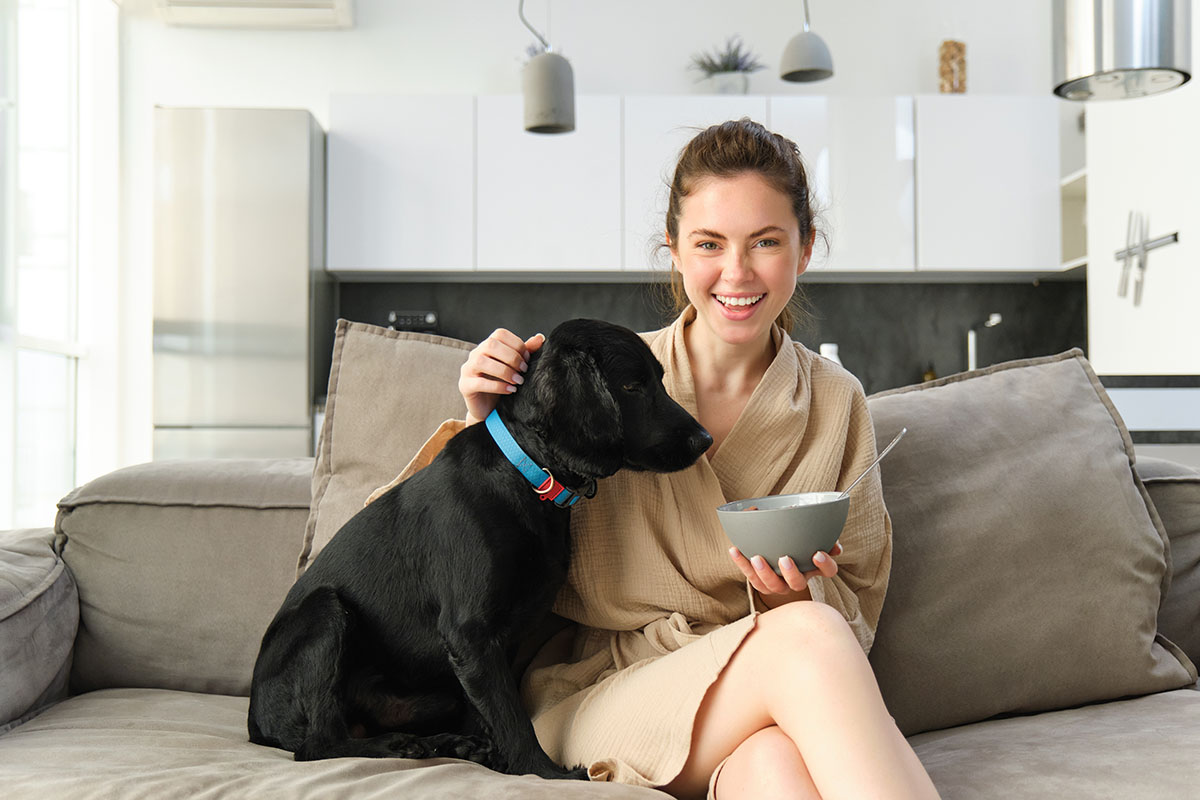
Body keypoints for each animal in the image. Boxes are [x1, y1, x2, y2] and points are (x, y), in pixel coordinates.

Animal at [246, 321, 710, 782]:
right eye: (633, 386)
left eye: (661, 380)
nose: (704, 439)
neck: (527, 475)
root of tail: (255, 724)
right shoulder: (471, 633)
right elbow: (512, 716)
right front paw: (545, 773)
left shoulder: (495, 645)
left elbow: (488, 711)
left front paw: (491, 758)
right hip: (326, 612)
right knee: (318, 745)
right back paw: (398, 745)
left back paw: (444, 743)